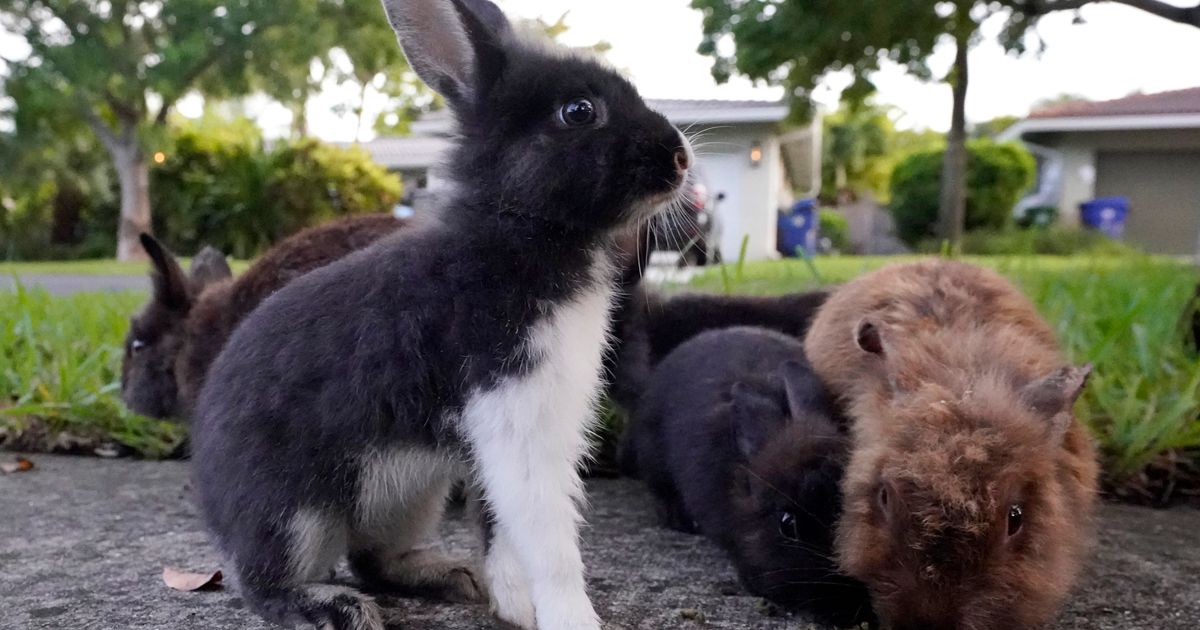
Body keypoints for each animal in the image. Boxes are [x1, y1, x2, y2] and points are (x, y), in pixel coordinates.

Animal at [188, 1, 692, 628]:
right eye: (579, 111)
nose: (680, 157)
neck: (519, 230)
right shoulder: (515, 417)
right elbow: (547, 539)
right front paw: (569, 618)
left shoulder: (499, 439)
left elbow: (501, 527)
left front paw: (513, 605)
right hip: (294, 515)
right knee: (265, 582)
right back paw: (338, 608)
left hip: (409, 494)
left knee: (372, 559)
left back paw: (453, 578)